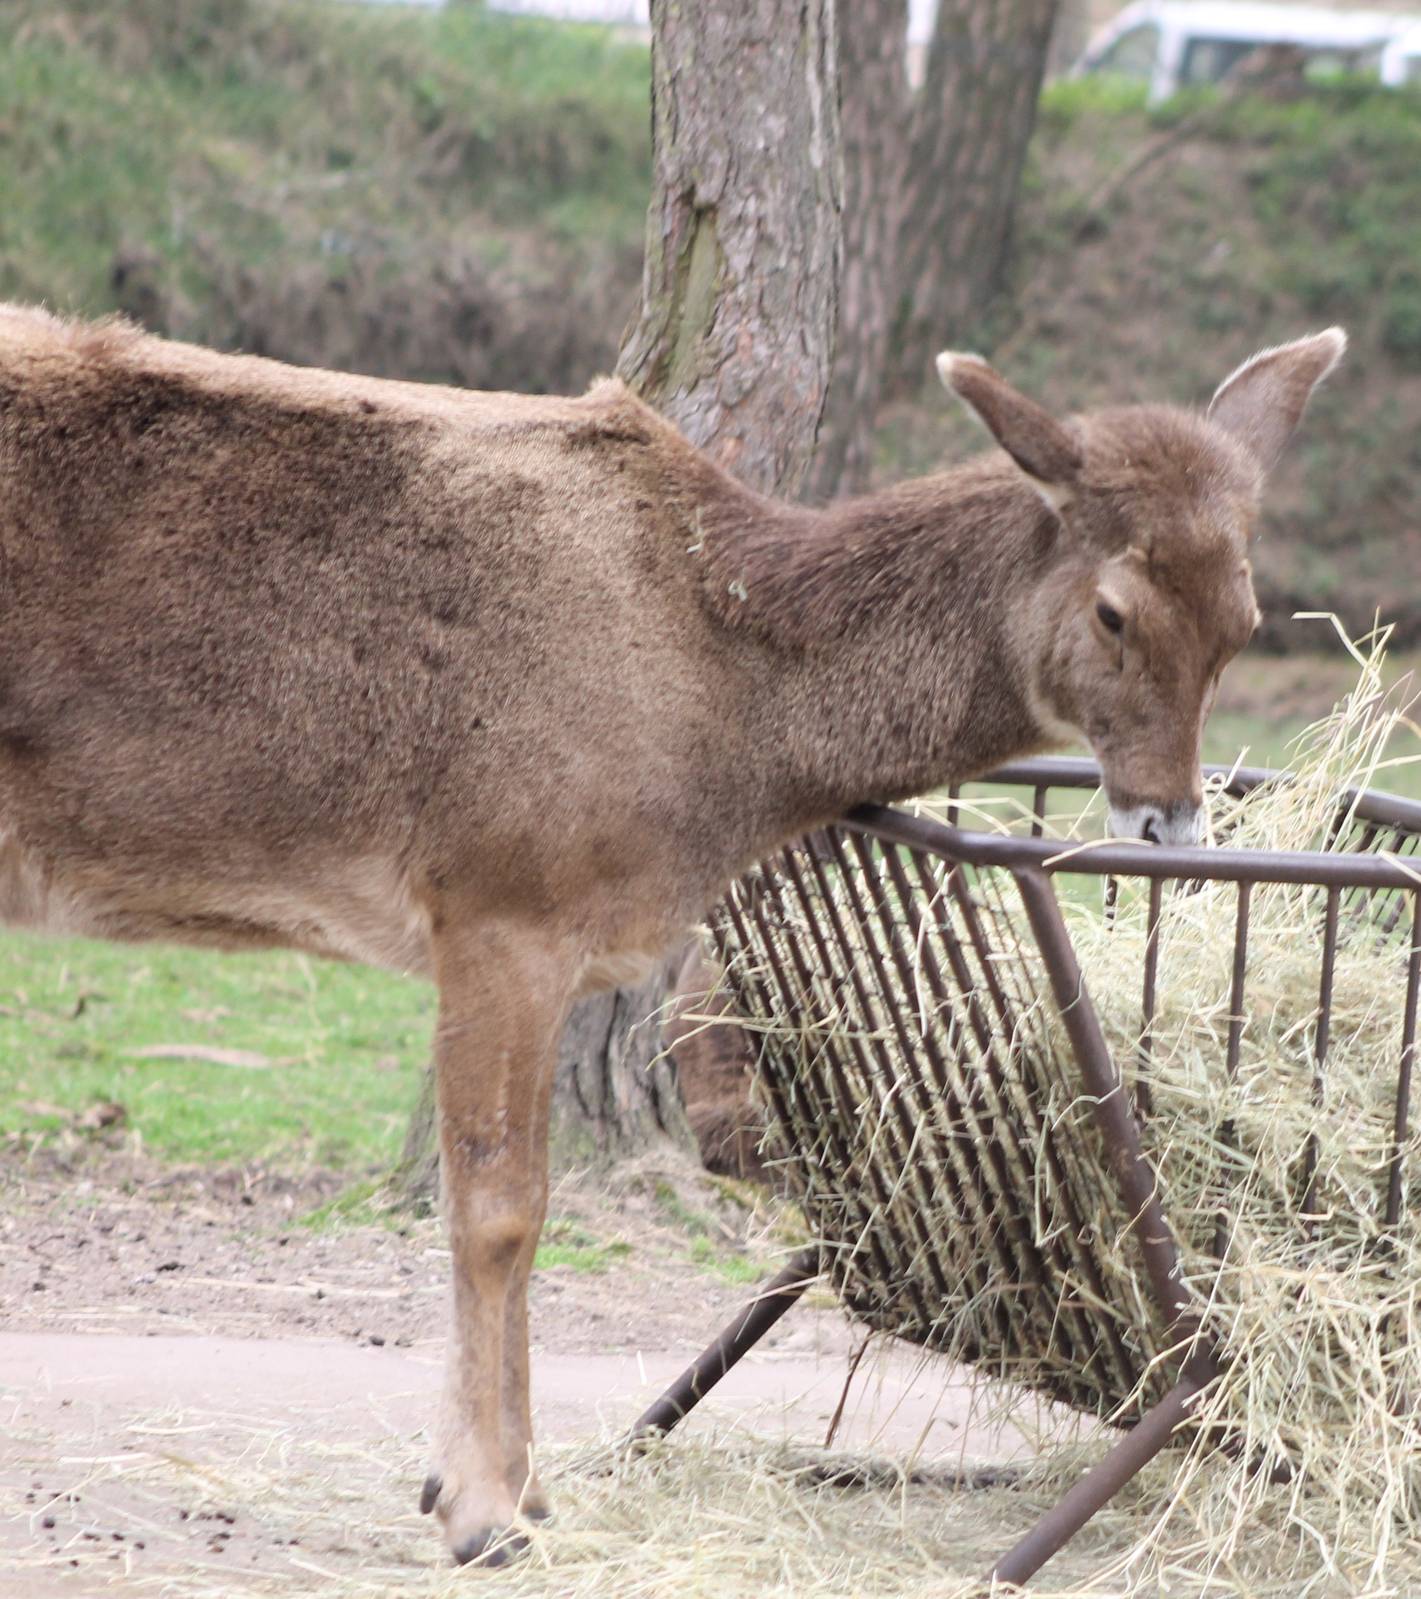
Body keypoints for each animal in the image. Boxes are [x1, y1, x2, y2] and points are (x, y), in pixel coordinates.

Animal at [0, 304, 1343, 1565]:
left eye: (1243, 618)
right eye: (1113, 612)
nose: (1169, 824)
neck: (714, 734)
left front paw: (513, 1488)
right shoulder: (498, 893)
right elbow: (499, 1211)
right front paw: (482, 1510)